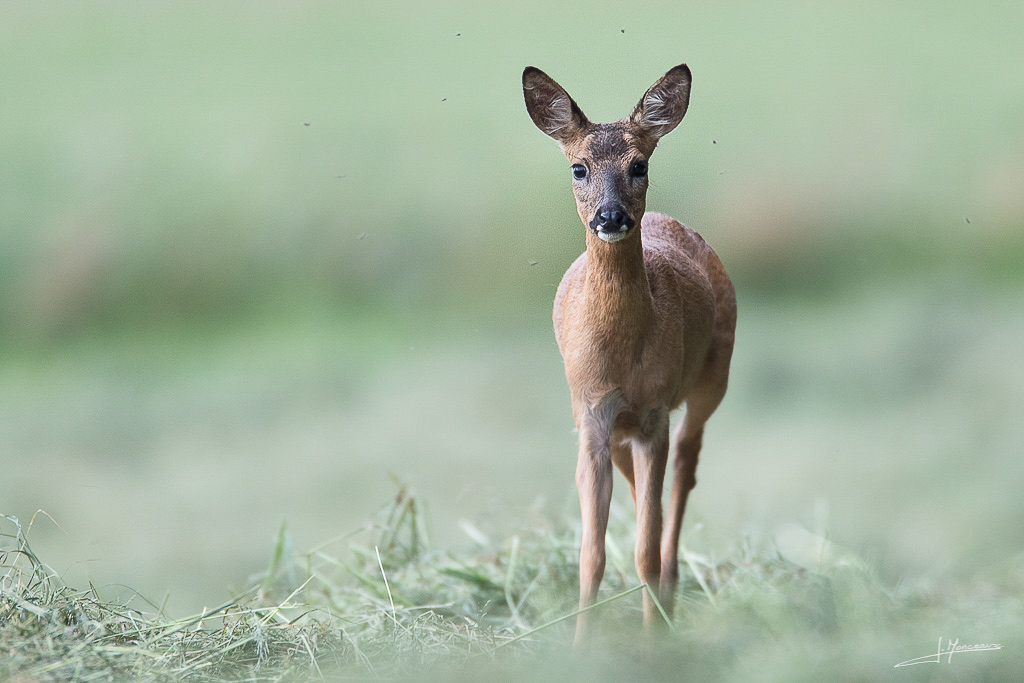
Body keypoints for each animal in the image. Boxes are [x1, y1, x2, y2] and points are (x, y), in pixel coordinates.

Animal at [520, 63, 737, 647]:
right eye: (578, 167)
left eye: (639, 164)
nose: (611, 215)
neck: (621, 352)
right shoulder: (592, 415)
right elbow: (591, 555)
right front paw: (580, 647)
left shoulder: (655, 411)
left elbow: (642, 548)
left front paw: (653, 639)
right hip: (613, 422)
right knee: (649, 494)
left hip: (712, 380)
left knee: (684, 469)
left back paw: (671, 584)